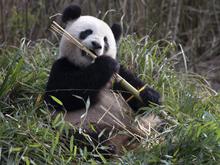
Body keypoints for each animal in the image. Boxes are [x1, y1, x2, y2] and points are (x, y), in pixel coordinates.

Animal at [45, 5, 162, 159]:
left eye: (105, 40)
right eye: (87, 32)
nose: (96, 45)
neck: (86, 65)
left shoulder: (118, 77)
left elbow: (134, 95)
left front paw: (150, 96)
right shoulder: (62, 66)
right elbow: (62, 95)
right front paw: (105, 64)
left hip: (146, 125)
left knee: (160, 126)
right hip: (81, 126)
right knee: (85, 140)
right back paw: (107, 148)